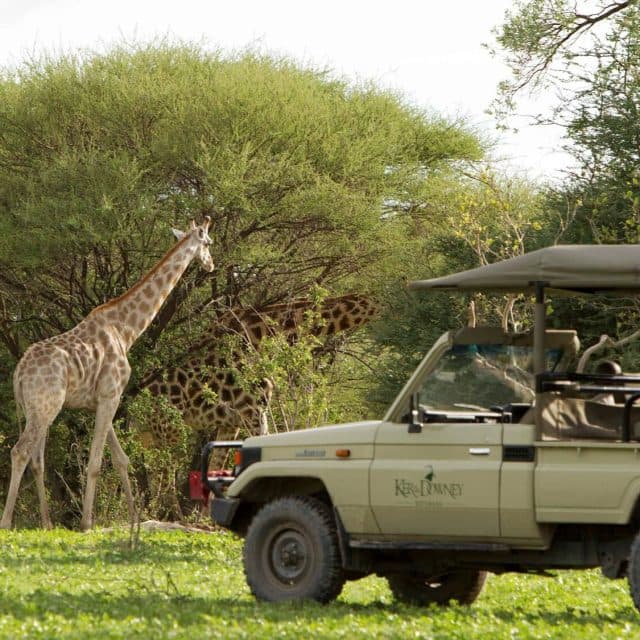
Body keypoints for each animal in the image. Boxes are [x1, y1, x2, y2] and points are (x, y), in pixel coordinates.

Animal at [0, 217, 214, 530]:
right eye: (208, 243)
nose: (211, 264)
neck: (126, 331)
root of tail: (19, 373)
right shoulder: (110, 394)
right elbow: (95, 463)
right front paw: (87, 523)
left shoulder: (103, 399)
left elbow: (121, 458)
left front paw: (135, 518)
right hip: (46, 407)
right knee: (20, 451)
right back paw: (7, 522)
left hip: (35, 409)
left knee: (37, 460)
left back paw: (47, 523)